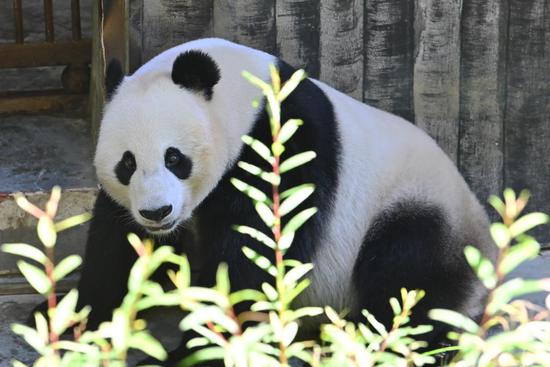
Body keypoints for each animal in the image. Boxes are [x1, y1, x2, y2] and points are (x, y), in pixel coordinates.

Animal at [72, 38, 496, 364]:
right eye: (127, 163)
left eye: (174, 158)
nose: (157, 212)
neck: (245, 100)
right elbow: (115, 250)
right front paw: (85, 324)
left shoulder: (282, 146)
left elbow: (252, 257)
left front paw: (194, 352)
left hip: (418, 206)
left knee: (408, 278)